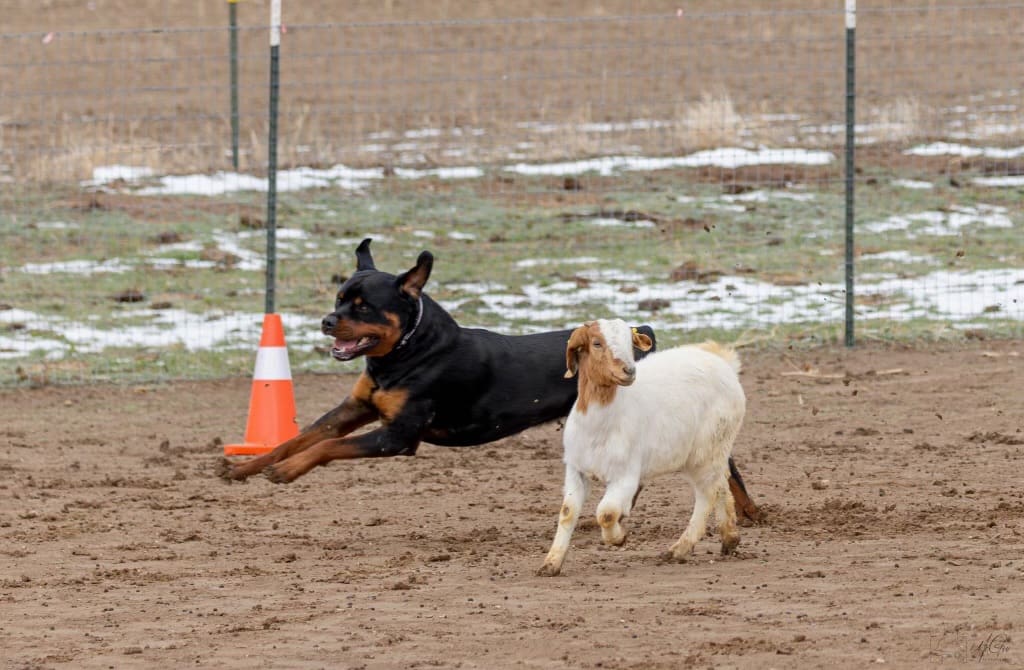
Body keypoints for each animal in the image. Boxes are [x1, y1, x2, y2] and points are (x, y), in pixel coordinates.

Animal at [538, 318, 747, 576]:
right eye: (596, 343)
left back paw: (679, 549)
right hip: (710, 453)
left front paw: (619, 537)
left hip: (706, 450)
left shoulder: (626, 475)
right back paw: (729, 538)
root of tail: (724, 363)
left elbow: (606, 513)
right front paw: (551, 563)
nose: (629, 371)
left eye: (630, 343)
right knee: (721, 485)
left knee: (706, 493)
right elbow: (567, 513)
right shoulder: (576, 470)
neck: (600, 423)